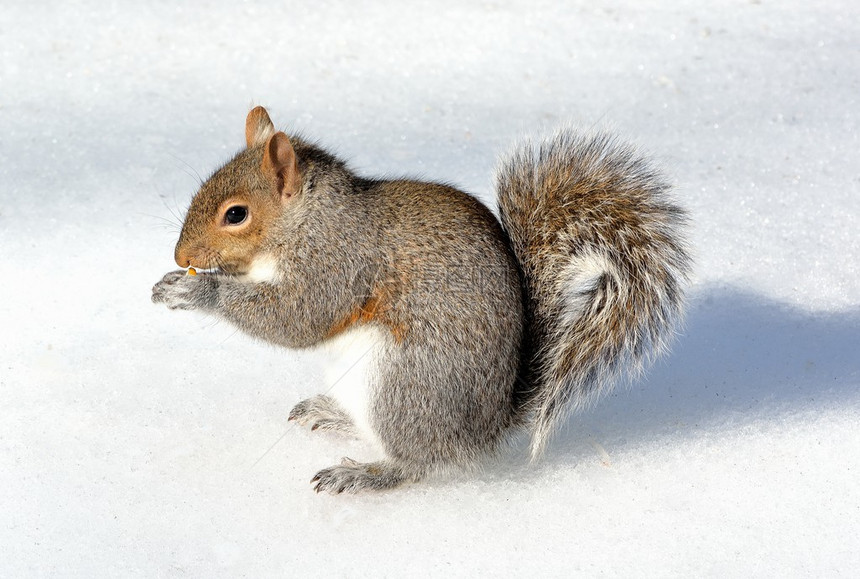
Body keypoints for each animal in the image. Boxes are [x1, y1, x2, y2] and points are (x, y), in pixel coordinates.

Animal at [153, 107, 692, 494]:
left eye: (236, 214)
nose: (181, 255)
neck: (308, 218)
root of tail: (483, 432)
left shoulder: (338, 263)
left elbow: (299, 318)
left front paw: (198, 290)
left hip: (401, 384)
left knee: (420, 461)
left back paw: (366, 474)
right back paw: (333, 414)